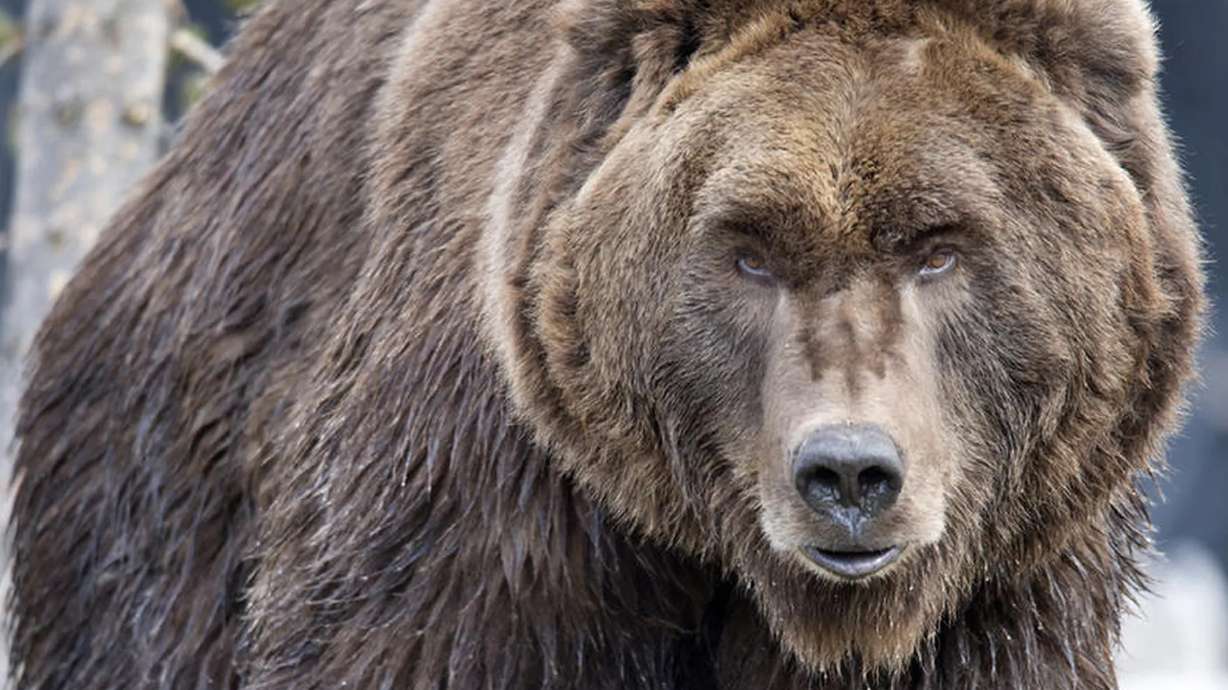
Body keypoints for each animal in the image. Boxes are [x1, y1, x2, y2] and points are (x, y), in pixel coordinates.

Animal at [6, 0, 1206, 688]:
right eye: (748, 247)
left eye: (941, 247)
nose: (850, 472)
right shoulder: (500, 496)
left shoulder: (1008, 568)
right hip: (161, 473)